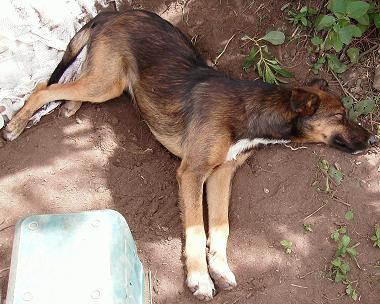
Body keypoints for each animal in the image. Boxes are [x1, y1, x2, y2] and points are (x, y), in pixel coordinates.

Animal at [3, 9, 378, 302]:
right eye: (340, 116)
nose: (372, 138)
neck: (250, 113)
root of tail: (117, 12)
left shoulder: (222, 173)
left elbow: (222, 226)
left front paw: (220, 267)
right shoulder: (192, 173)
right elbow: (197, 228)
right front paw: (200, 278)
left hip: (106, 83)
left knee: (72, 81)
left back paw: (70, 106)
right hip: (105, 83)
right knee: (43, 88)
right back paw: (16, 125)